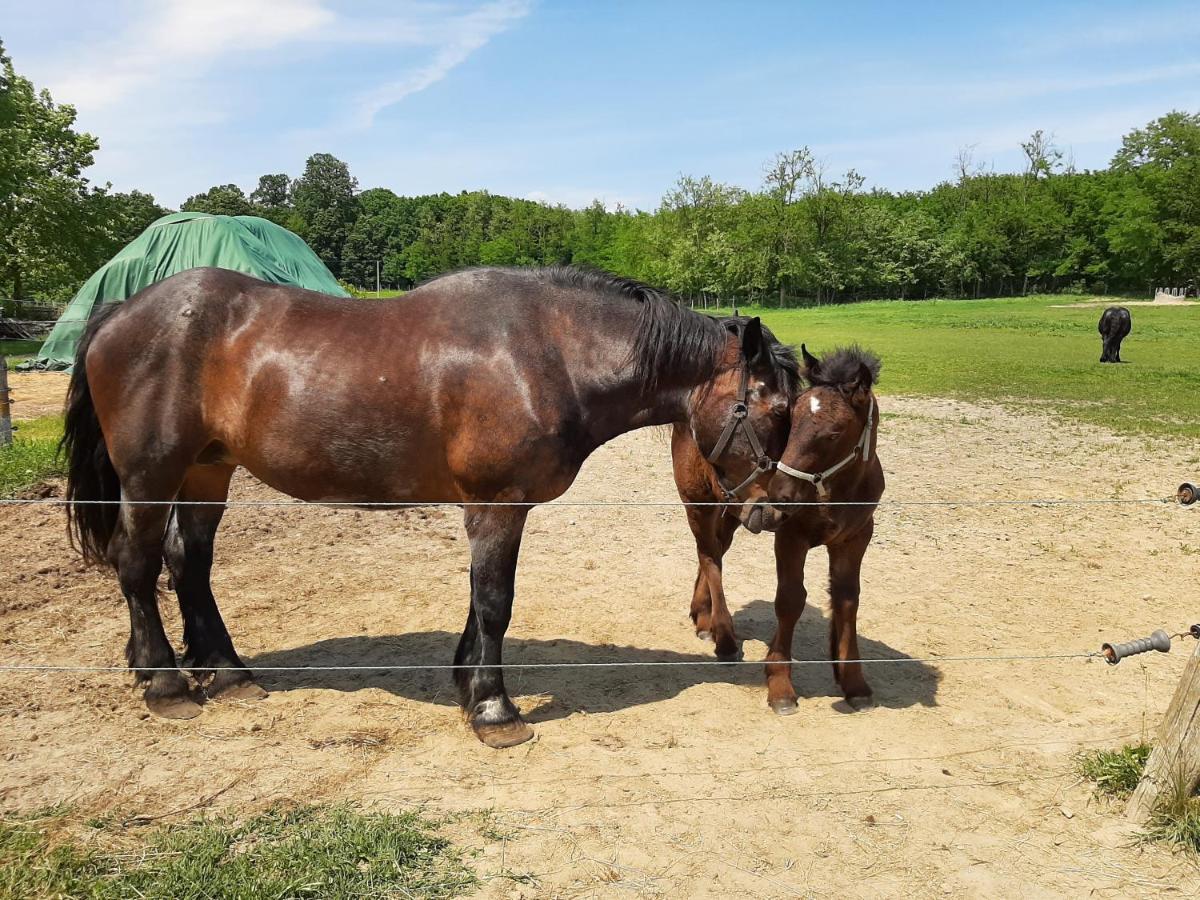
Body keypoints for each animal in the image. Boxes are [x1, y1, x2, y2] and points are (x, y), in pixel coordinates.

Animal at [60, 266, 801, 748]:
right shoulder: (499, 505)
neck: (548, 351)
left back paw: (224, 673)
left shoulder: (497, 508)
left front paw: (468, 686)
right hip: (151, 473)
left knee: (189, 563)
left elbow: (481, 599)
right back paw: (165, 684)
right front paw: (496, 711)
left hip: (208, 469)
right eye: (774, 409)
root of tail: (119, 311)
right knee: (136, 562)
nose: (772, 512)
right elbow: (496, 600)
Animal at [676, 343, 883, 710]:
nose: (781, 494)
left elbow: (847, 598)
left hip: (737, 512)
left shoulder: (856, 537)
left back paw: (703, 617)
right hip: (698, 502)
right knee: (709, 556)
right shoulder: (790, 537)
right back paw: (724, 637)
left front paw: (854, 683)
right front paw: (780, 686)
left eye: (834, 433)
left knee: (714, 550)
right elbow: (790, 600)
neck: (838, 490)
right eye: (792, 419)